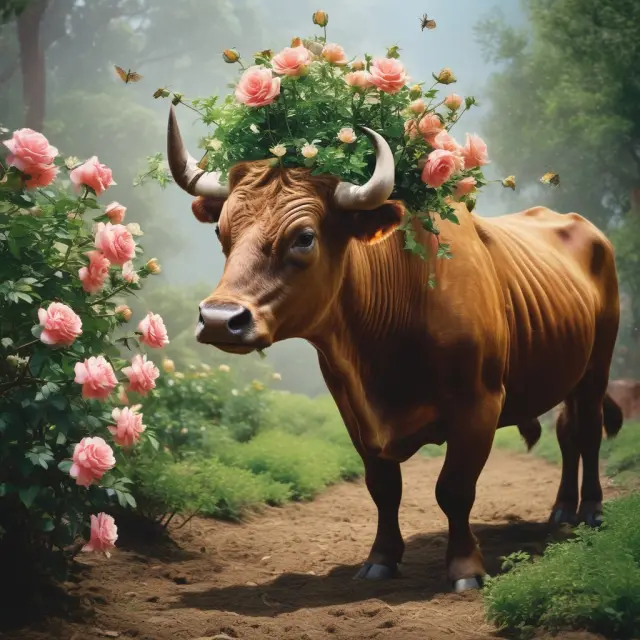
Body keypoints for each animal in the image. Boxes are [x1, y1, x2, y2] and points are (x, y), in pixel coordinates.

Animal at [166, 105, 624, 592]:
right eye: (221, 232)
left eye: (304, 237)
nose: (220, 319)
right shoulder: (352, 410)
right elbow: (384, 488)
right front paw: (381, 560)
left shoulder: (479, 404)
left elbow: (454, 489)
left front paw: (465, 568)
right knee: (568, 433)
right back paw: (561, 510)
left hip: (598, 367)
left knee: (588, 431)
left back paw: (591, 512)